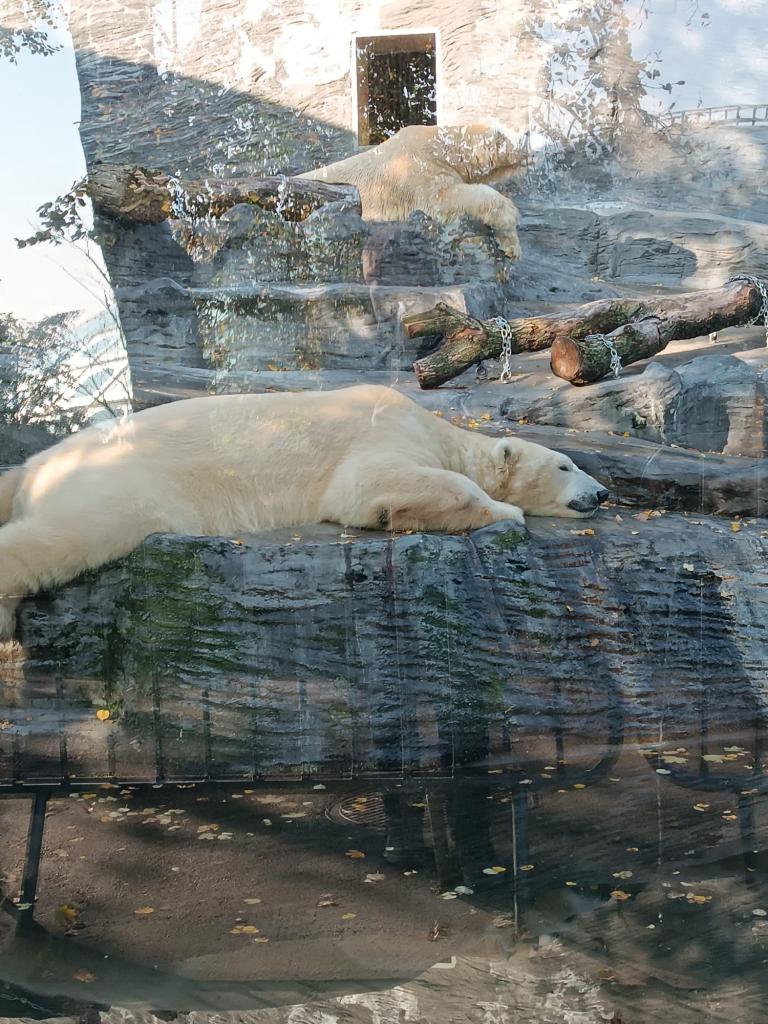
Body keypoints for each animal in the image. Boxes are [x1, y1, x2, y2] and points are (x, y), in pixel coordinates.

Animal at [0, 385, 607, 639]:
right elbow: (369, 485)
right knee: (75, 532)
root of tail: (35, 465)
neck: (435, 427)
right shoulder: (381, 432)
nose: (602, 494)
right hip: (121, 481)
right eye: (566, 465)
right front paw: (503, 509)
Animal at [299, 124, 526, 260]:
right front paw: (510, 213)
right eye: (512, 141)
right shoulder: (418, 168)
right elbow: (444, 200)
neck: (442, 146)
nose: (527, 151)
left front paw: (511, 246)